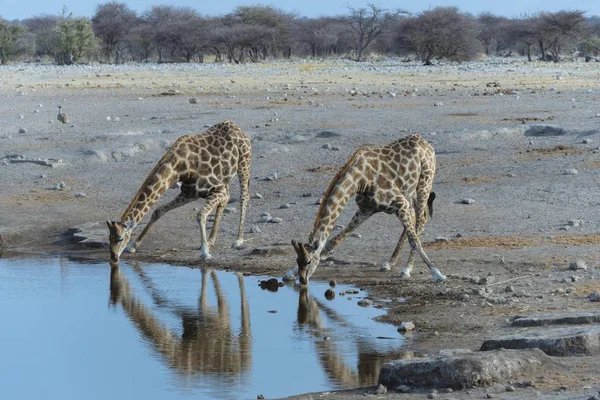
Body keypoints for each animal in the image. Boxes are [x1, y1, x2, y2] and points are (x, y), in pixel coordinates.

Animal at [106, 122, 250, 266]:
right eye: (109, 238)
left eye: (121, 238)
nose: (114, 258)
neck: (179, 168)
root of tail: (236, 126)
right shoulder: (188, 194)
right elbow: (158, 211)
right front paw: (133, 245)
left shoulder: (217, 190)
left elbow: (201, 215)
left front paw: (205, 252)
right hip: (226, 177)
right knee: (226, 200)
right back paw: (211, 241)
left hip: (244, 163)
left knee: (244, 197)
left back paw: (238, 240)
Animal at [286, 134, 446, 284]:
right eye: (297, 261)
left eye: (308, 261)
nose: (303, 281)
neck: (360, 180)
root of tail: (426, 143)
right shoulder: (365, 210)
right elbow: (332, 242)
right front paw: (289, 274)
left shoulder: (400, 203)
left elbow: (415, 240)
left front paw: (437, 274)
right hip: (409, 192)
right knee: (413, 220)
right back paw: (389, 262)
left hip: (424, 183)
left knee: (421, 220)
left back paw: (407, 268)